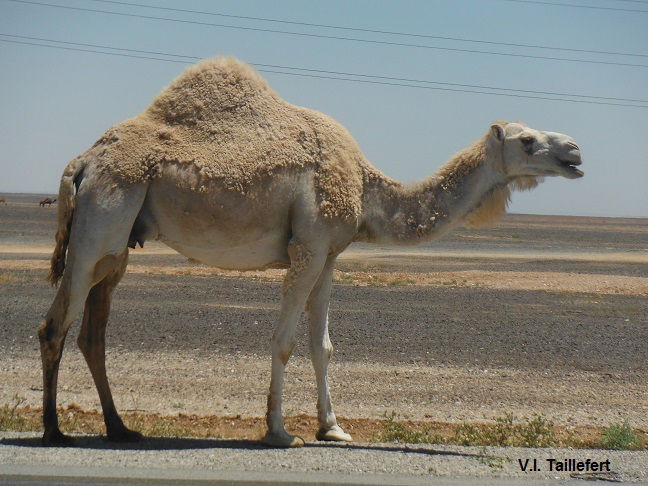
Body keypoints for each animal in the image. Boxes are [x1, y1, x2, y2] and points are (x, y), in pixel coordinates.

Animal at [41, 55, 588, 446]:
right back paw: (54, 430)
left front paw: (334, 428)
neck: (365, 188)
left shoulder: (329, 255)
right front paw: (279, 432)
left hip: (118, 245)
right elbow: (283, 340)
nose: (576, 150)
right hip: (99, 223)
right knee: (56, 325)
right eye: (527, 140)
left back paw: (119, 428)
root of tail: (81, 162)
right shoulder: (307, 247)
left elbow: (321, 345)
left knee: (92, 333)